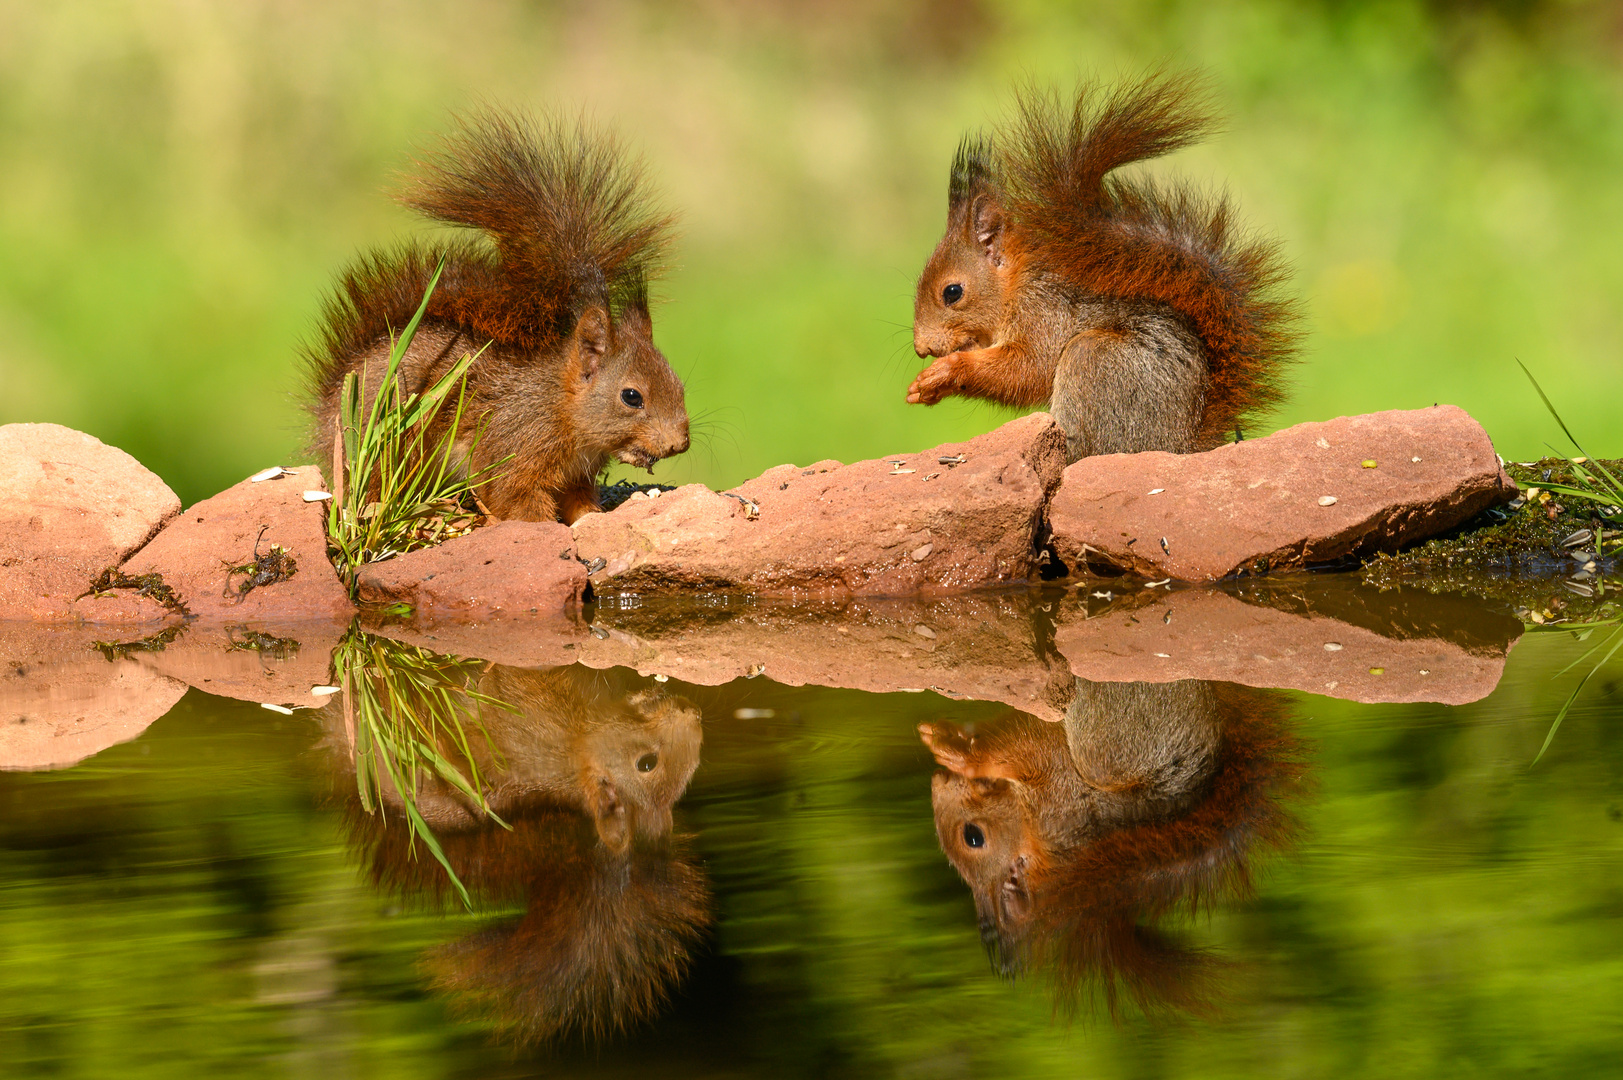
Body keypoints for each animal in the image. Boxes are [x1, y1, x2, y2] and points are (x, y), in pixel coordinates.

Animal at [305, 110, 691, 522]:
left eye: (679, 385)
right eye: (632, 397)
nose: (679, 444)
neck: (559, 407)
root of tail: (332, 403)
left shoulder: (577, 476)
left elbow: (580, 503)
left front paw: (592, 520)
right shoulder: (513, 448)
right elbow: (516, 501)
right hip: (390, 445)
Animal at [908, 73, 1298, 461]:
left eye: (952, 292)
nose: (921, 348)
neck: (1016, 285)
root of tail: (1184, 443)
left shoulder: (1045, 313)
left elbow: (1026, 370)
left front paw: (944, 372)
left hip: (1094, 360)